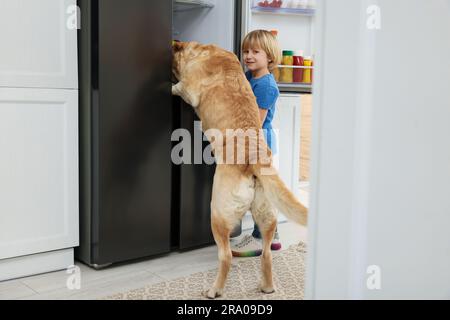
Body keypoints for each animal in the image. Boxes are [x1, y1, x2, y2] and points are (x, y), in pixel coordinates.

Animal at [171, 41, 308, 298]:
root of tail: (254, 159)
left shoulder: (189, 87)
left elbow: (180, 87)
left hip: (218, 213)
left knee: (225, 256)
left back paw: (214, 290)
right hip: (267, 215)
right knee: (266, 253)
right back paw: (267, 286)